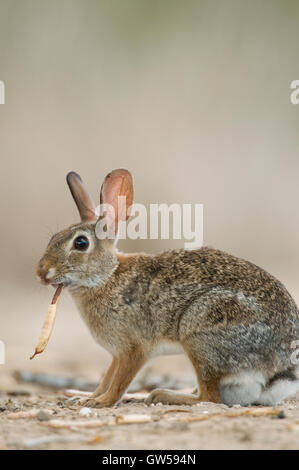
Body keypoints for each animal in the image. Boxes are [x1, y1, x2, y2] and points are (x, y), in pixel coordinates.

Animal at [37, 169, 299, 408]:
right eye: (52, 238)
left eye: (81, 243)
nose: (41, 272)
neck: (107, 277)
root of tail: (279, 373)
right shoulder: (116, 354)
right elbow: (108, 377)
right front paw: (86, 397)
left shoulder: (134, 348)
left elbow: (119, 382)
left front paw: (100, 402)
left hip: (200, 333)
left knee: (209, 398)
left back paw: (163, 395)